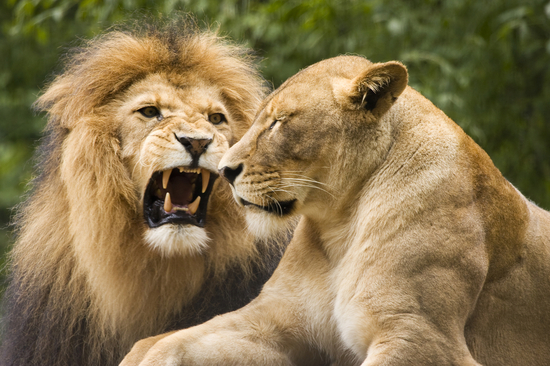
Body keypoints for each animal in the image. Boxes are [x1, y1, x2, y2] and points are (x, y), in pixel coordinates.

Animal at [122, 55, 550, 366]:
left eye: (279, 122)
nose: (225, 170)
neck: (340, 227)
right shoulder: (274, 319)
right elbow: (161, 344)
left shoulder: (421, 336)